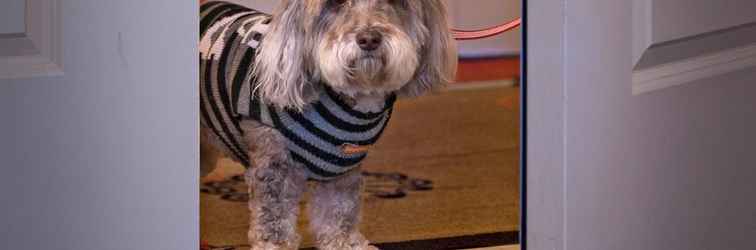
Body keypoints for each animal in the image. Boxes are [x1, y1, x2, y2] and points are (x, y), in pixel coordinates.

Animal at [199, 0, 454, 249]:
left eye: (395, 2)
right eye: (336, 4)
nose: (369, 39)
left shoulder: (342, 169)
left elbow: (338, 212)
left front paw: (346, 243)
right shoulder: (274, 167)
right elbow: (274, 220)